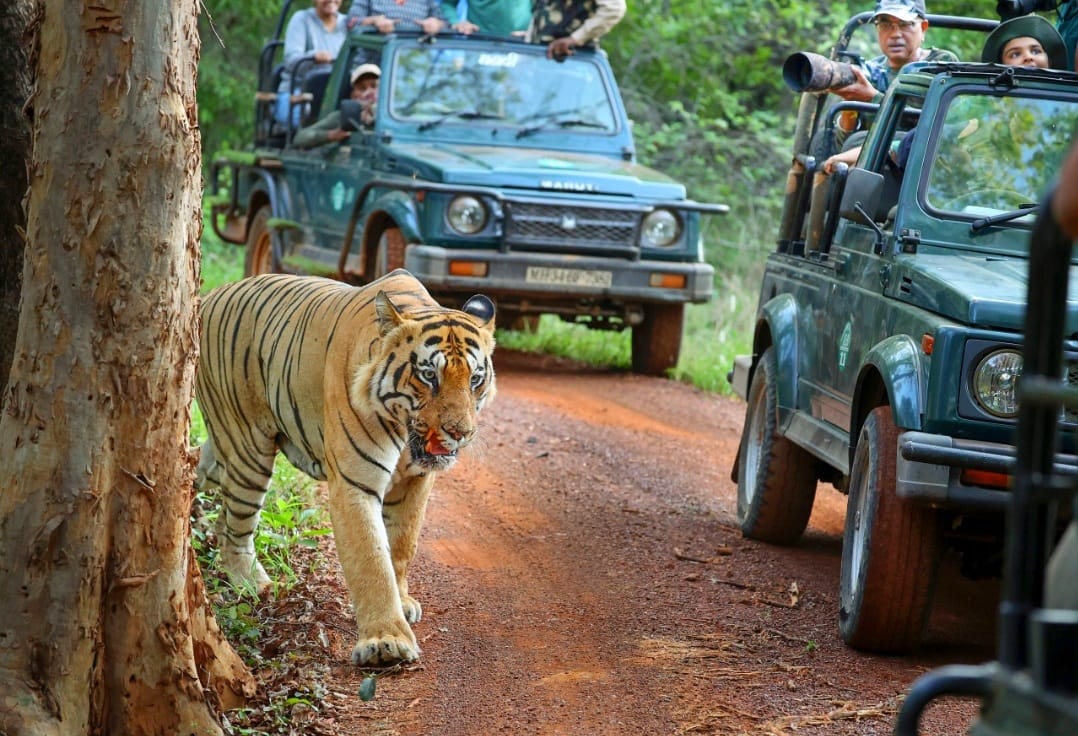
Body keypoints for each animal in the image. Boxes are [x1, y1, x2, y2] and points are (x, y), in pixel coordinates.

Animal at [194, 270, 496, 666]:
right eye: (429, 375)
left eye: (475, 379)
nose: (460, 433)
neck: (405, 433)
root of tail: (211, 295)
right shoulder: (355, 483)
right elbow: (372, 560)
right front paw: (386, 640)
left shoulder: (416, 481)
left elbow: (402, 546)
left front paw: (403, 601)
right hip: (248, 447)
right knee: (238, 527)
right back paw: (251, 582)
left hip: (223, 448)